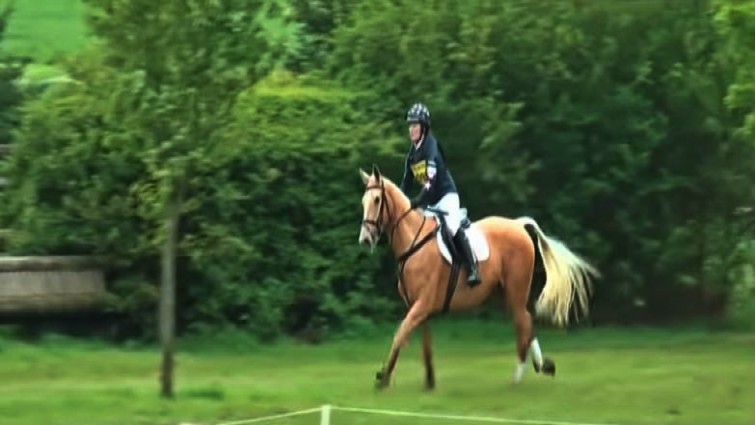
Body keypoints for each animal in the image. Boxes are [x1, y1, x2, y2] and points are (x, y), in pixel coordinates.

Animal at [358, 164, 600, 390]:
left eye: (377, 200)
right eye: (363, 202)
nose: (365, 239)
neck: (413, 243)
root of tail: (518, 225)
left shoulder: (422, 304)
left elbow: (400, 334)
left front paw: (383, 377)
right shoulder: (419, 308)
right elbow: (423, 343)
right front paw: (427, 381)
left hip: (516, 291)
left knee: (523, 323)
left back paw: (518, 376)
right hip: (504, 293)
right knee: (527, 323)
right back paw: (542, 365)